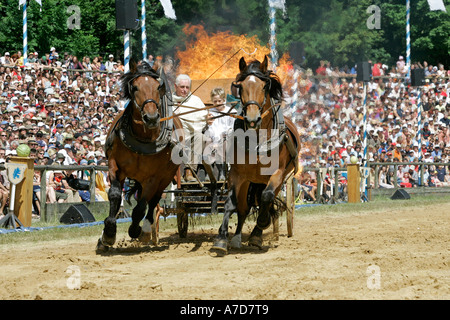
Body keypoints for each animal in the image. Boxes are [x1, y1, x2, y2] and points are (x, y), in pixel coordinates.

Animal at [96, 60, 183, 252]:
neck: (143, 138)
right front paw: (108, 233)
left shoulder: (154, 177)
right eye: (135, 87)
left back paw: (146, 230)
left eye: (158, 87)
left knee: (153, 202)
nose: (151, 117)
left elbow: (141, 207)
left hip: (165, 177)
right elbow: (114, 195)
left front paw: (135, 229)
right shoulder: (114, 165)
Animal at [213, 56, 300, 254]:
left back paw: (257, 234)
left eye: (264, 86)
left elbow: (266, 198)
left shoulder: (277, 174)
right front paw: (221, 238)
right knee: (244, 208)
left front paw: (261, 225)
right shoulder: (236, 174)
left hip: (279, 179)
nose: (252, 119)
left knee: (266, 199)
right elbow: (231, 204)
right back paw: (237, 238)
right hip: (249, 181)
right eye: (240, 86)